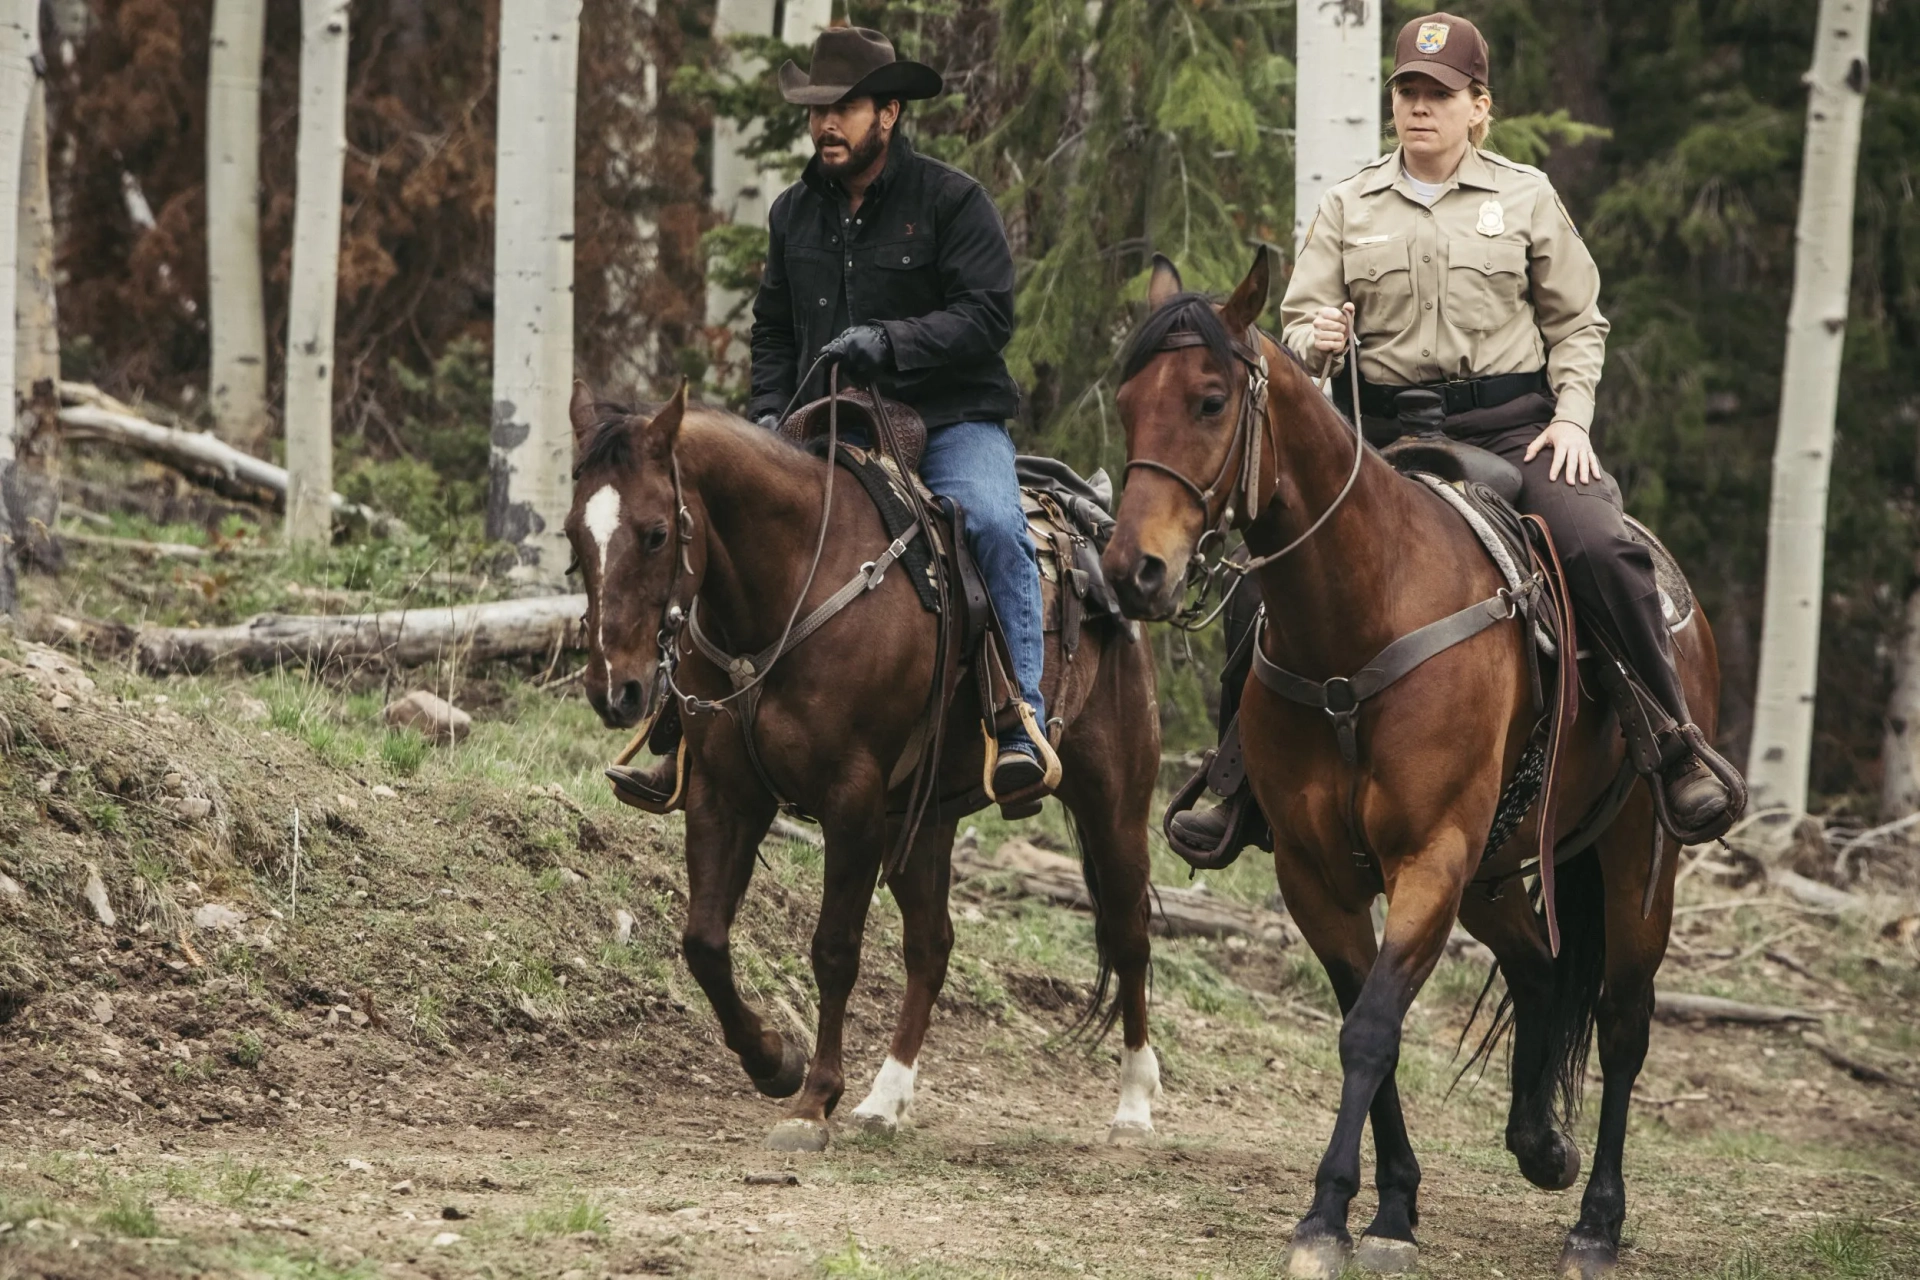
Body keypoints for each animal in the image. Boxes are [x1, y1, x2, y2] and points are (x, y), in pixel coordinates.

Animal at [564, 378, 1167, 1151]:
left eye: (656, 533)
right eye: (574, 536)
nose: (618, 690)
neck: (793, 579)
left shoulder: (851, 803)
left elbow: (834, 949)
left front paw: (813, 1098)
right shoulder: (726, 794)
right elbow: (704, 941)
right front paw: (775, 1063)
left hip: (1113, 801)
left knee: (1128, 934)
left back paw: (1134, 1105)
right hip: (925, 817)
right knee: (932, 945)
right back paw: (886, 1098)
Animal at [1105, 253, 1720, 1280]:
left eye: (1209, 400)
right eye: (1124, 405)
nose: (1132, 573)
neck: (1362, 614)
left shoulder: (1431, 854)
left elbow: (1372, 1028)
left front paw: (1328, 1215)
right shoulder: (1315, 871)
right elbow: (1371, 1019)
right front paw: (1389, 1205)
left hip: (1638, 857)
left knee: (1626, 1022)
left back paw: (1595, 1222)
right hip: (1500, 868)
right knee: (1539, 968)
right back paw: (1538, 1146)